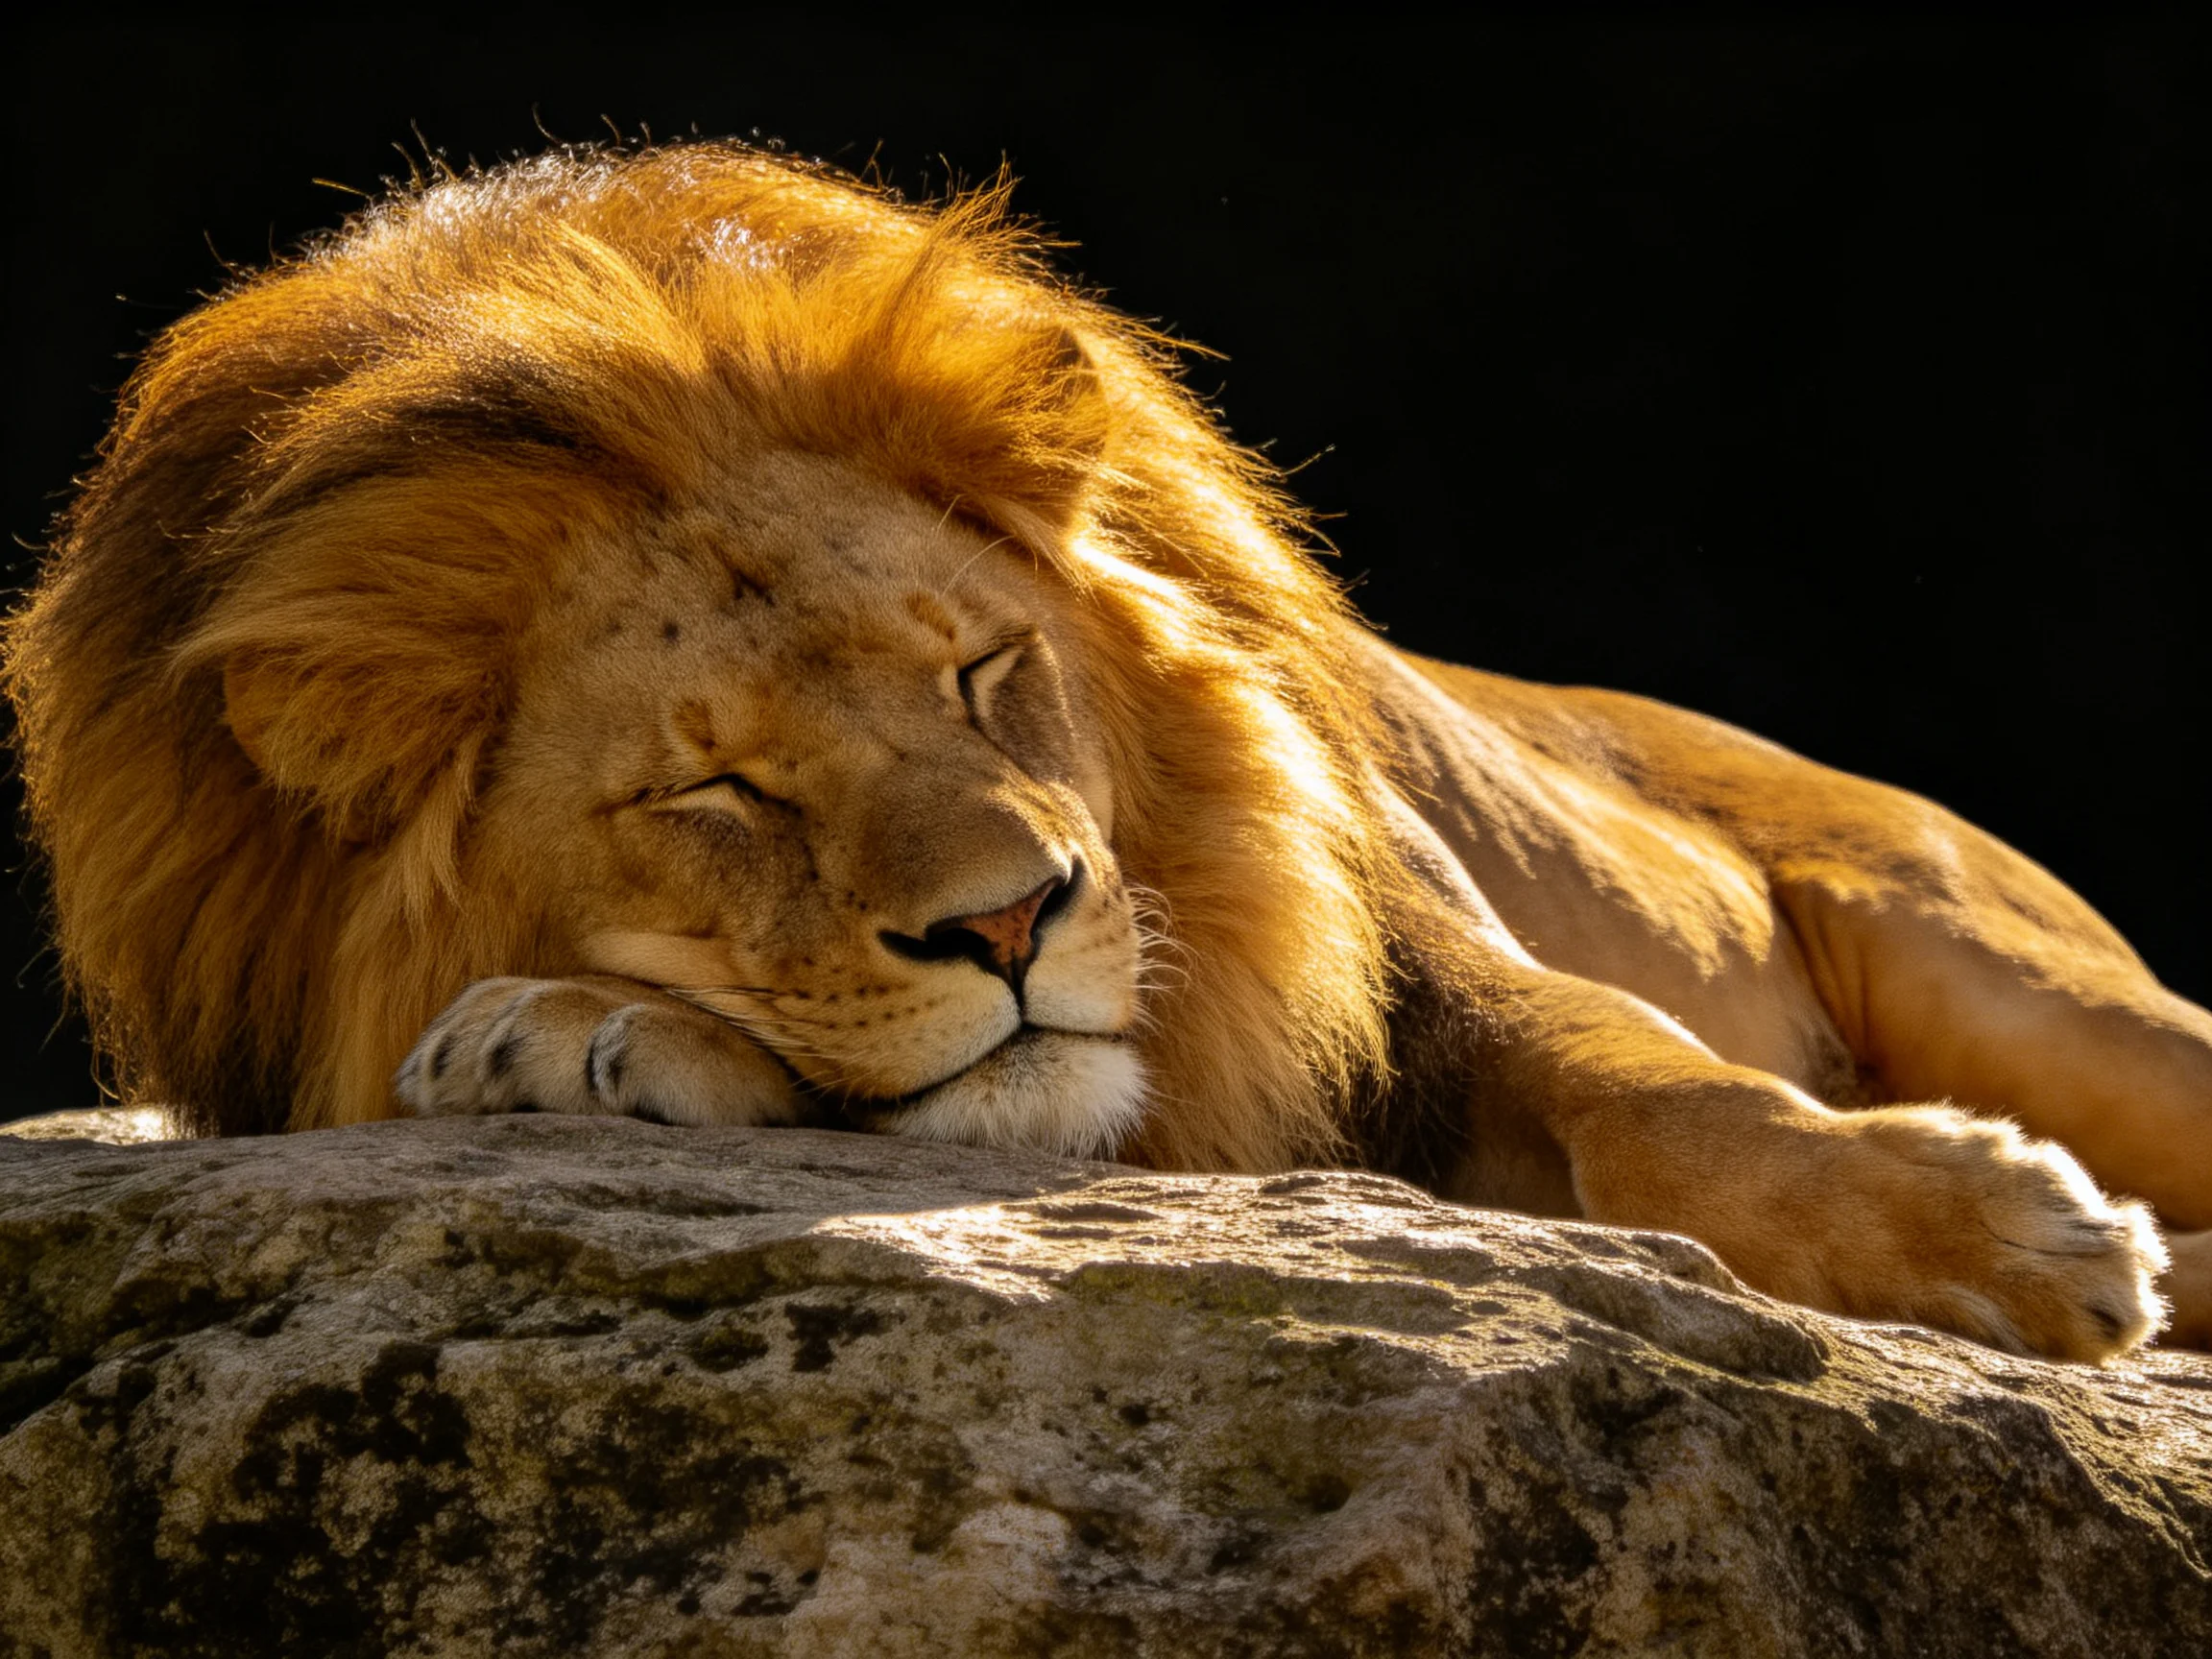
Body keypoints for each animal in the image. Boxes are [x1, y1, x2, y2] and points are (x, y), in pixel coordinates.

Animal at [6, 143, 2207, 1362]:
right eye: (722, 790)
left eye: (985, 673)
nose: (1015, 923)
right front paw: (558, 1035)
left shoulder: (1373, 926)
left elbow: (1635, 1071)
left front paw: (1998, 1237)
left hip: (2023, 978)